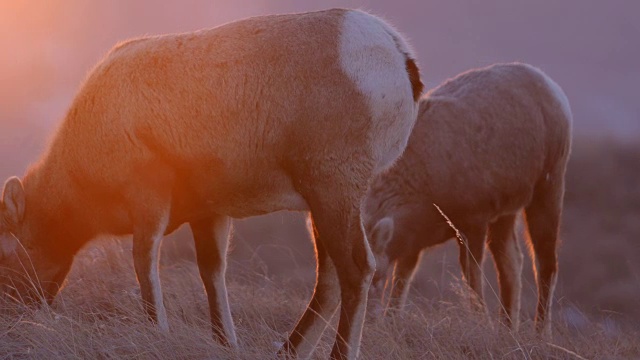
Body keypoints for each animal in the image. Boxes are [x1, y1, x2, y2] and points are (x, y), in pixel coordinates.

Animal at [0, 9, 422, 360]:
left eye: (6, 254)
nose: (10, 318)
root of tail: (395, 53)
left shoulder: (149, 199)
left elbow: (145, 262)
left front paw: (159, 331)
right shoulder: (210, 214)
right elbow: (212, 273)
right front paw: (225, 343)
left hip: (332, 192)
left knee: (355, 269)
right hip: (322, 206)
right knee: (330, 279)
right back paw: (288, 351)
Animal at [362, 63, 572, 336]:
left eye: (373, 277)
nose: (365, 323)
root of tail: (552, 87)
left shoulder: (473, 224)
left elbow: (472, 278)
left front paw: (480, 321)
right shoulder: (414, 241)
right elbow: (402, 278)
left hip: (548, 188)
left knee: (545, 263)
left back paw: (539, 334)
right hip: (505, 215)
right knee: (511, 264)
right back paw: (507, 328)